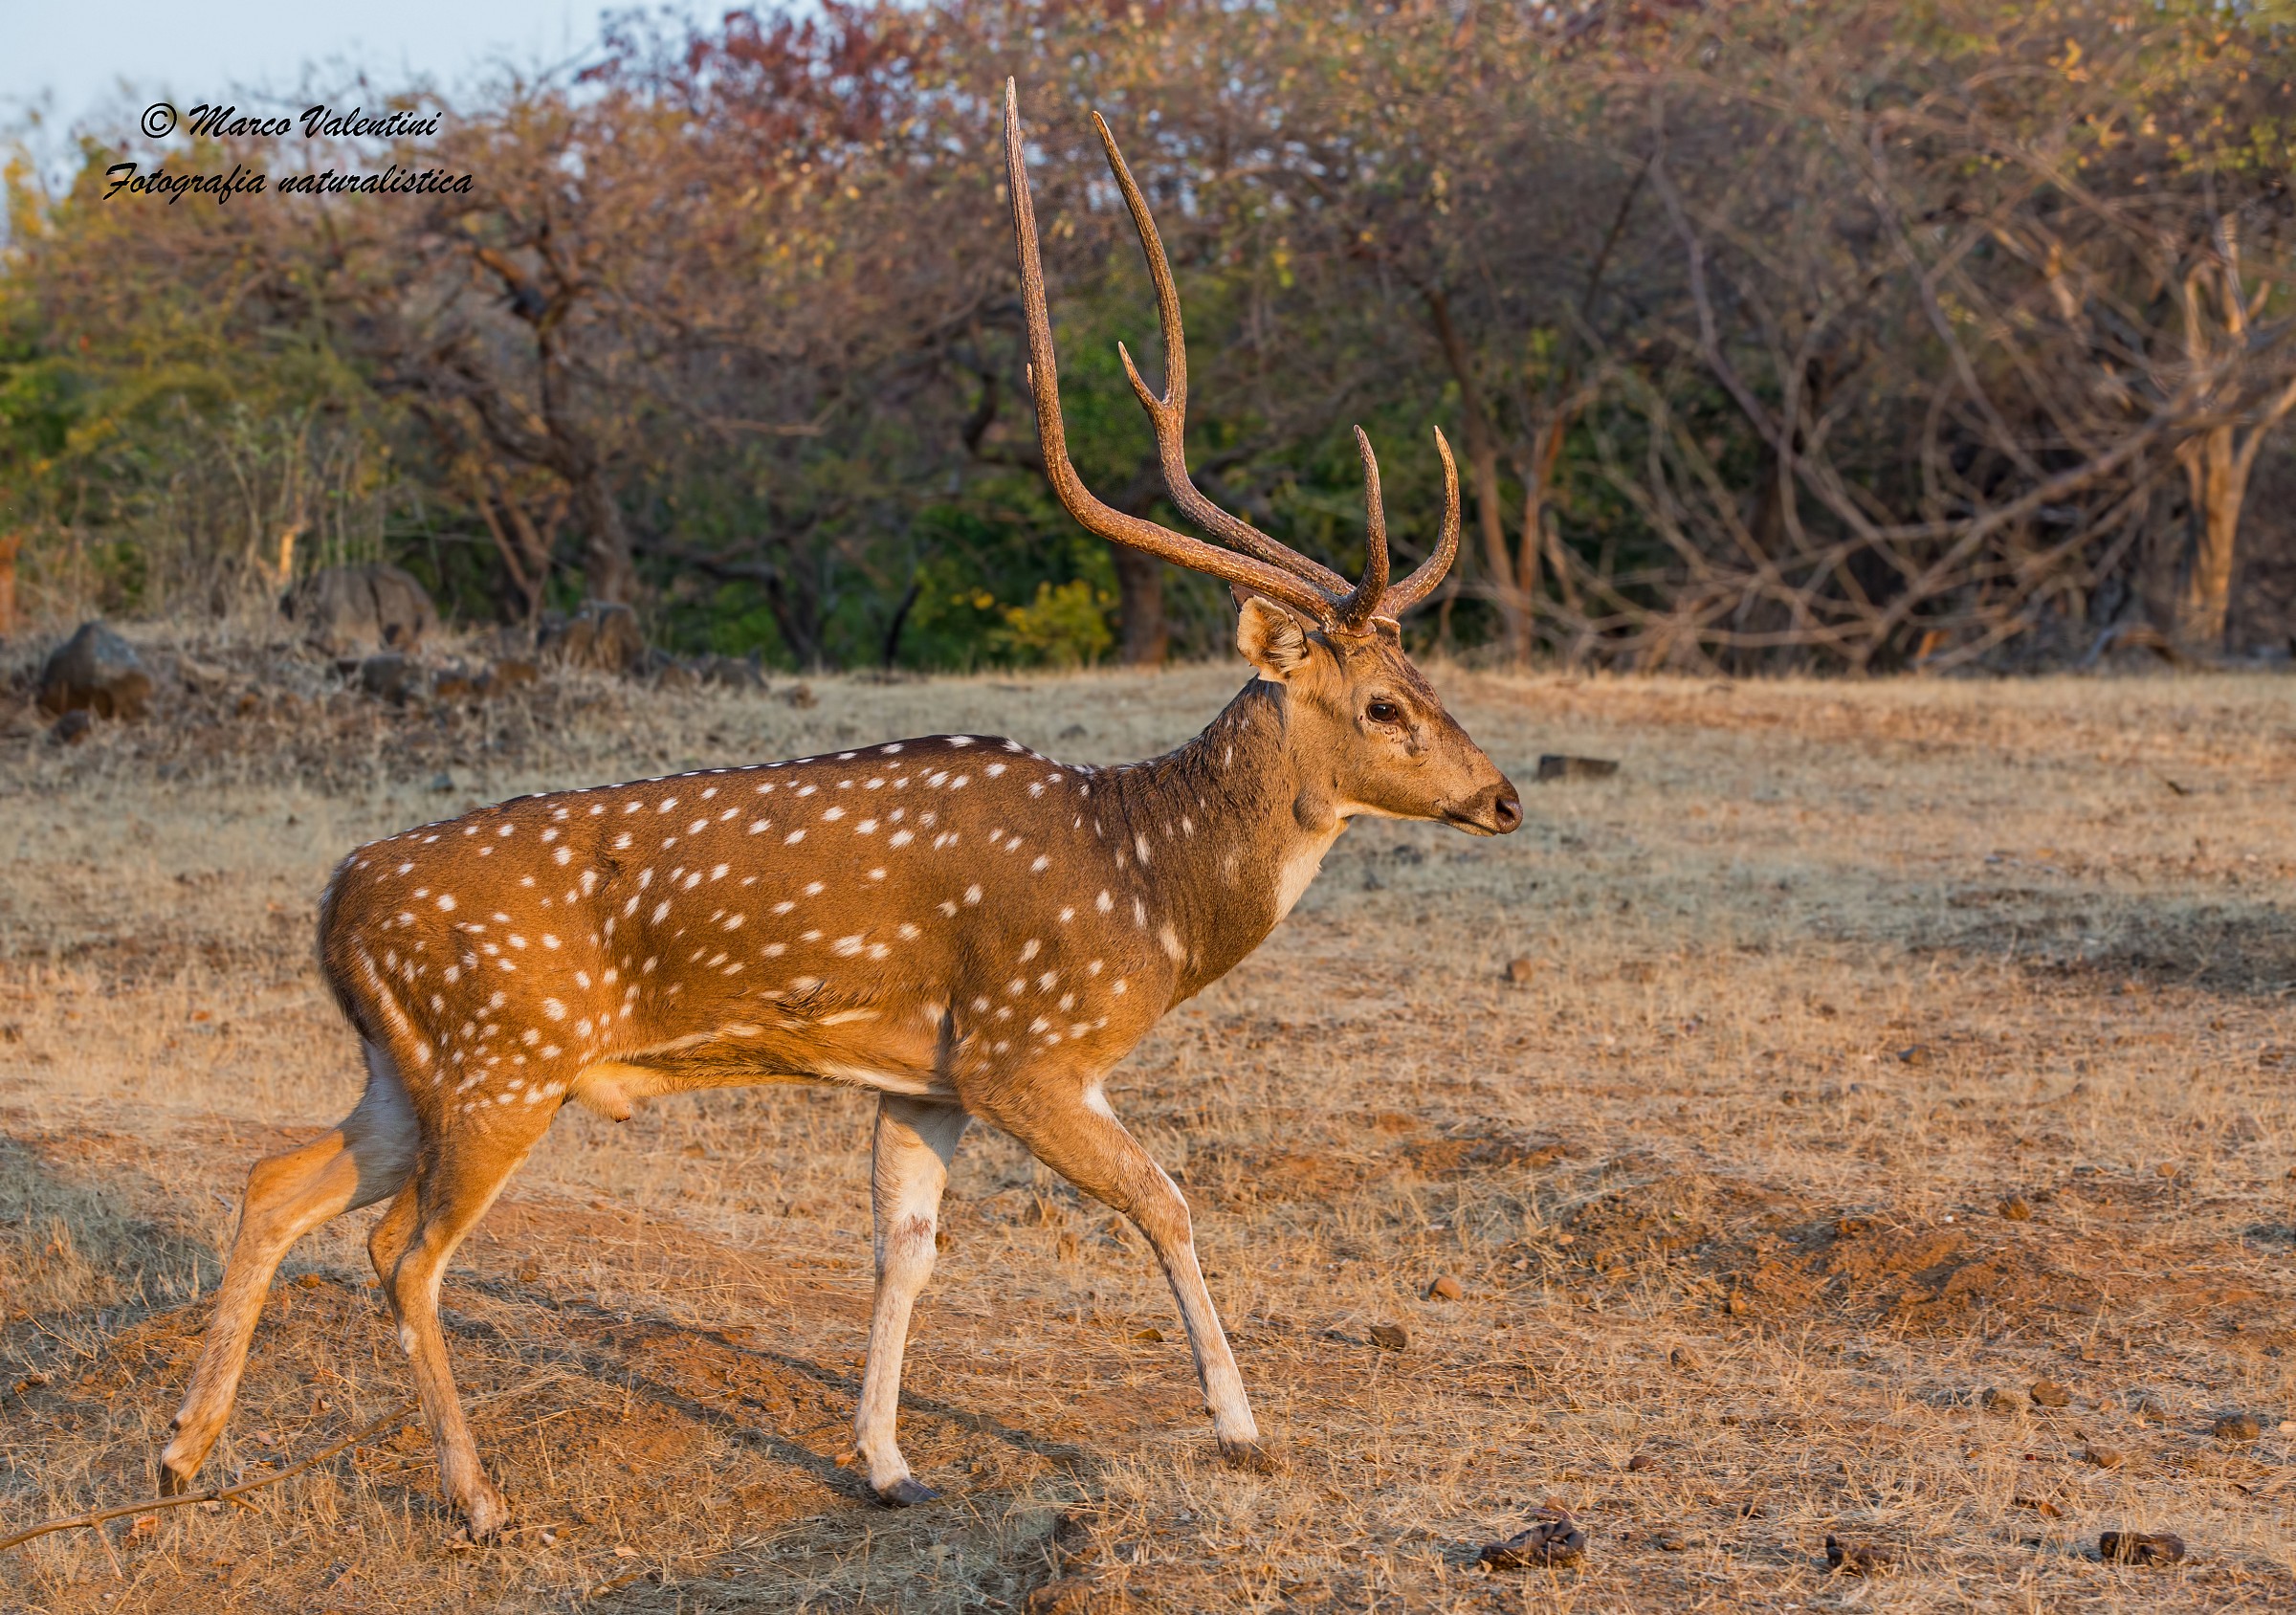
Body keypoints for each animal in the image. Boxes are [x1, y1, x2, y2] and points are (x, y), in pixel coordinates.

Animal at [162, 92, 1524, 1543]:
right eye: (1383, 703)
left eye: (1430, 682)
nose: (1500, 797)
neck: (1149, 893)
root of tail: (334, 899)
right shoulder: (1027, 1047)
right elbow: (1167, 1202)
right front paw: (1242, 1429)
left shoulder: (924, 1080)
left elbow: (902, 1252)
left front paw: (884, 1460)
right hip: (503, 1063)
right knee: (401, 1250)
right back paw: (475, 1499)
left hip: (404, 1068)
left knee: (277, 1180)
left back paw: (184, 1451)